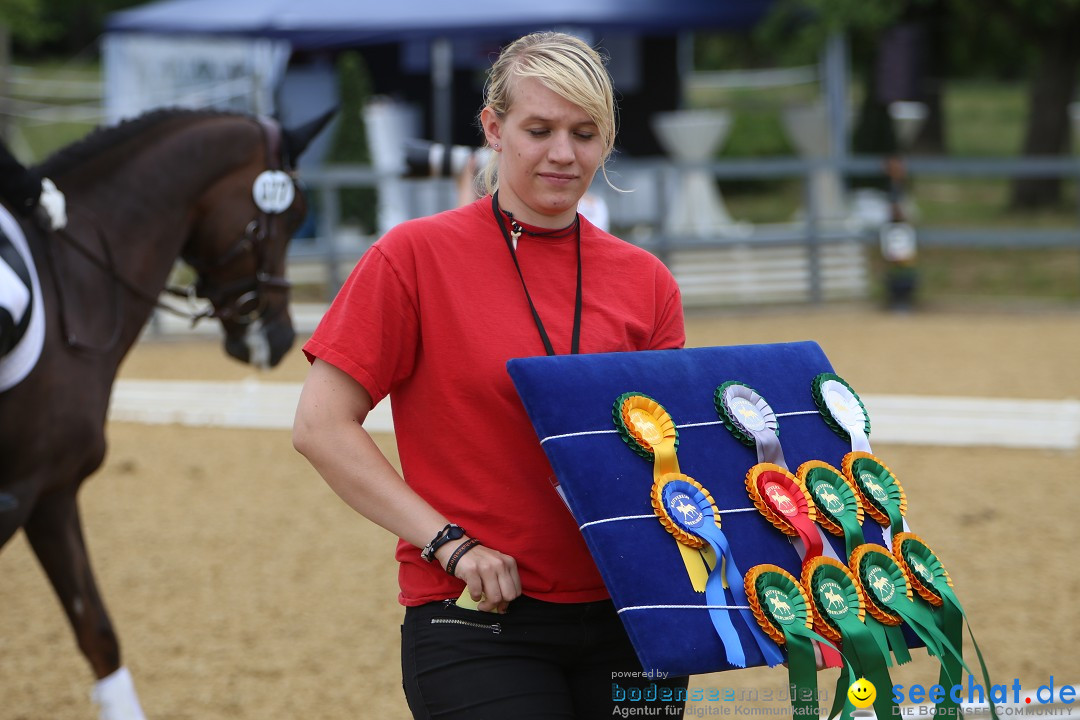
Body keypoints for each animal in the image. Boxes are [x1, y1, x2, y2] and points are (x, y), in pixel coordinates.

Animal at [0, 108, 328, 720]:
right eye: (292, 214)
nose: (276, 339)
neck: (75, 279)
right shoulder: (23, 492)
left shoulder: (50, 491)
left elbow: (99, 636)